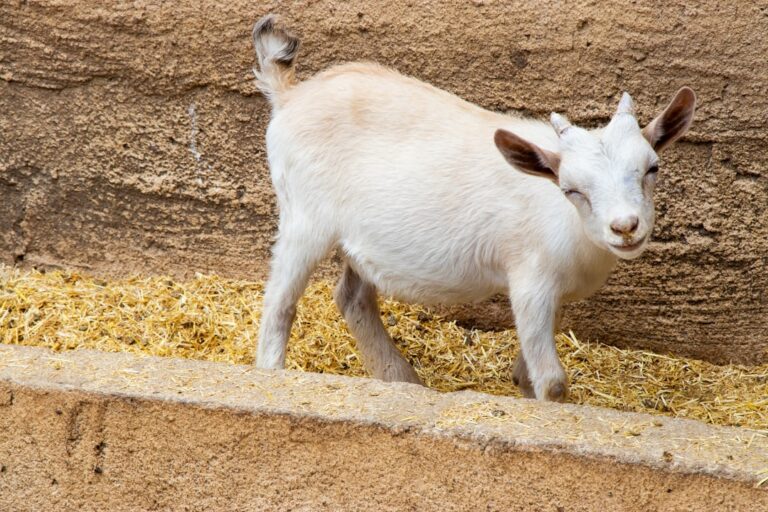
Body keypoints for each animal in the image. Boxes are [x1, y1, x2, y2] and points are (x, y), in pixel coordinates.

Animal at [251, 14, 696, 401]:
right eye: (571, 189)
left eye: (652, 167)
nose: (625, 226)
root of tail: (290, 95)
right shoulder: (530, 281)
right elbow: (552, 380)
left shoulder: (550, 295)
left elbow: (528, 372)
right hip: (304, 217)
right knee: (280, 302)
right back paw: (273, 374)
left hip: (358, 239)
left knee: (352, 297)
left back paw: (401, 379)